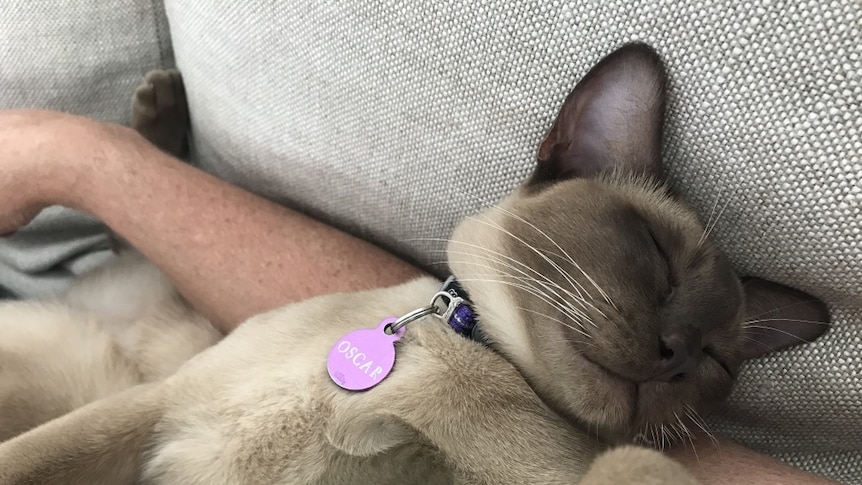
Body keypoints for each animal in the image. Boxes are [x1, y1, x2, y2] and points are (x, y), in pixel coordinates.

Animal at [0, 42, 832, 484]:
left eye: (717, 361)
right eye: (657, 257)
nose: (675, 353)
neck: (469, 351)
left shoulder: (610, 469)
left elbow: (630, 465)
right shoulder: (157, 407)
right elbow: (30, 458)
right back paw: (157, 106)